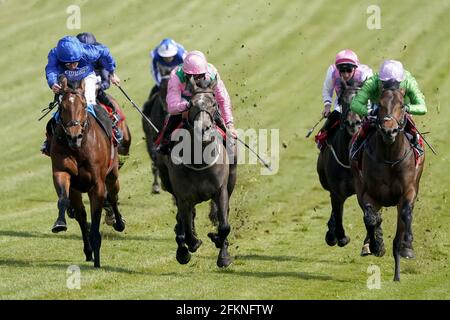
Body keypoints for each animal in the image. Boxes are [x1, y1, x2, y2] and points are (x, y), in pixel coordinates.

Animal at [50, 75, 125, 268]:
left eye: (84, 105)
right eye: (62, 107)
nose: (74, 136)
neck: (79, 148)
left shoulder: (97, 184)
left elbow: (96, 214)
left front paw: (97, 256)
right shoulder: (64, 176)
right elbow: (65, 202)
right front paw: (60, 223)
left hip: (112, 174)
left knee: (113, 195)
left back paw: (119, 223)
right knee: (82, 215)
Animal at [156, 75, 237, 268]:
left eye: (214, 103)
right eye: (190, 104)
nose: (203, 128)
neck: (199, 161)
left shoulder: (221, 190)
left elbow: (224, 225)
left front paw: (222, 252)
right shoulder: (184, 197)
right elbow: (187, 228)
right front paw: (188, 248)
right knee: (183, 220)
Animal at [352, 87, 426, 280]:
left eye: (401, 104)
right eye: (380, 104)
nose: (389, 131)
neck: (389, 157)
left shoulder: (408, 191)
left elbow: (405, 215)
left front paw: (406, 247)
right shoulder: (368, 193)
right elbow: (370, 218)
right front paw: (376, 245)